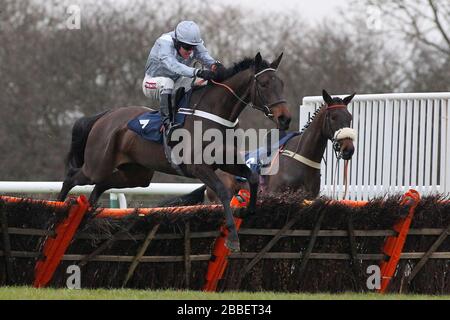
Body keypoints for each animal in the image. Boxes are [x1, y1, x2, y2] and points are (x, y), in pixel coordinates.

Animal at [57, 53, 292, 252]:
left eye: (281, 84)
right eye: (264, 84)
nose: (285, 119)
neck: (214, 114)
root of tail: (104, 116)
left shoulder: (226, 162)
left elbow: (252, 177)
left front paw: (248, 210)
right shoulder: (198, 167)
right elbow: (222, 191)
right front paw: (233, 238)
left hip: (136, 174)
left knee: (101, 185)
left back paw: (89, 212)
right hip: (97, 165)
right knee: (72, 178)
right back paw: (60, 209)